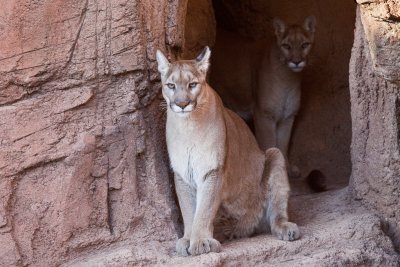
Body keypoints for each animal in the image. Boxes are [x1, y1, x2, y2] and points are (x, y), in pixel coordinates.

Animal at [156, 46, 300, 258]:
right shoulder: (182, 173)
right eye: (171, 85)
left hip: (275, 154)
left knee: (276, 214)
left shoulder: (212, 170)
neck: (188, 125)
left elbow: (204, 210)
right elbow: (188, 210)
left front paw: (199, 241)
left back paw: (286, 228)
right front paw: (187, 239)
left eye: (192, 84)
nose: (182, 104)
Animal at [211, 16, 318, 176]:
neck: (288, 80)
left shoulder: (288, 117)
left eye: (304, 45)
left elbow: (283, 144)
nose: (297, 61)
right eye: (286, 46)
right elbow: (269, 143)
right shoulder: (264, 115)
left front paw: (287, 169)